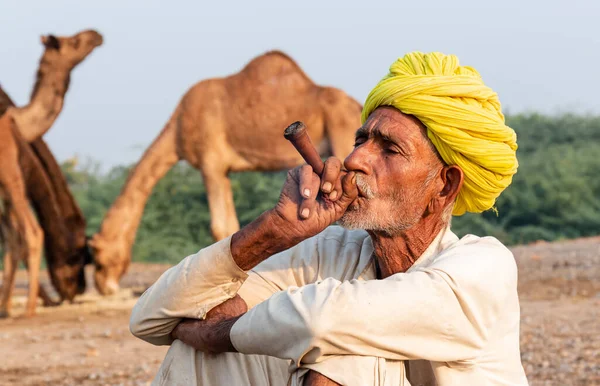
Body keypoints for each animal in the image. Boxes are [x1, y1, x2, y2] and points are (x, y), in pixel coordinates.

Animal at [0, 27, 102, 316]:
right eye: (74, 41)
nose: (96, 35)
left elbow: (12, 240)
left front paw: (6, 306)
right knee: (29, 233)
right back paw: (27, 307)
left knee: (24, 234)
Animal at [88, 49, 360, 294]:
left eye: (97, 257)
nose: (104, 287)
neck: (177, 129)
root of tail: (356, 105)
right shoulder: (224, 168)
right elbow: (229, 223)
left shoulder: (211, 163)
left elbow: (220, 226)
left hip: (342, 130)